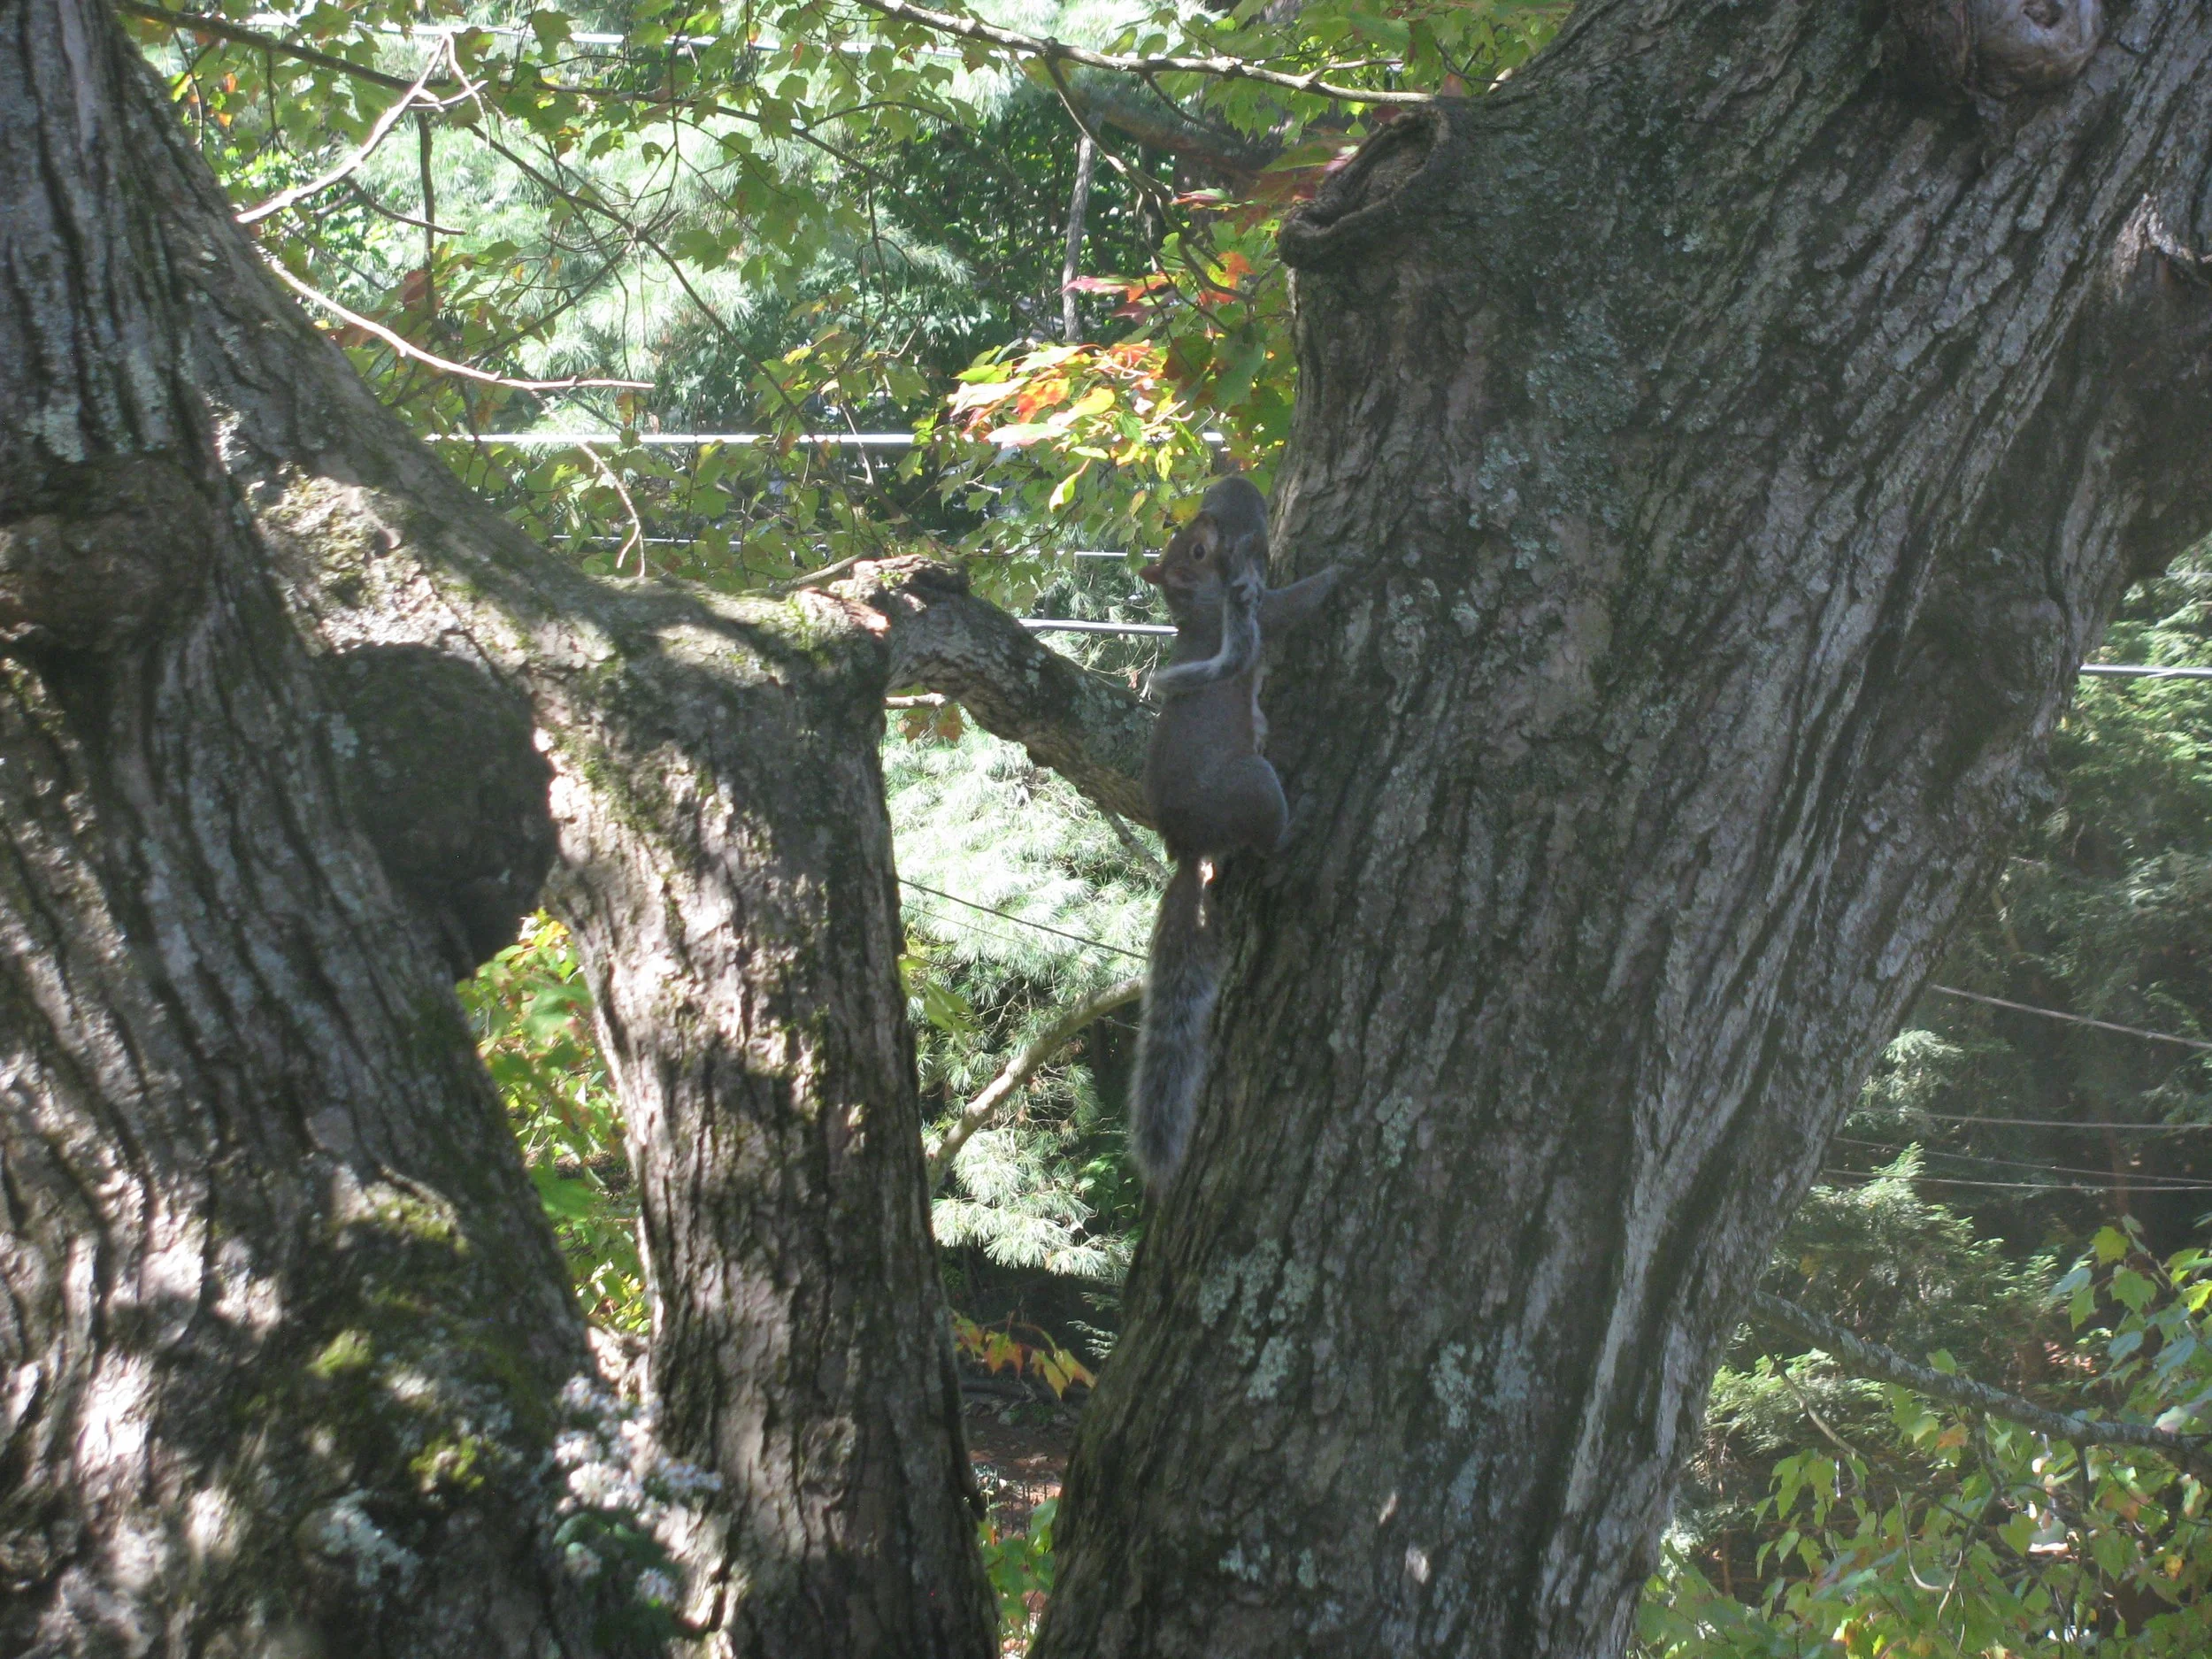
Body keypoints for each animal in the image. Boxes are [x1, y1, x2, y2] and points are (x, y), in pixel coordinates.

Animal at [1129, 475, 1339, 1192]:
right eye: (1197, 549)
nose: (1218, 512)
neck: (1196, 607)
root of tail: (1189, 847)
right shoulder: (1262, 614)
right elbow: (1296, 603)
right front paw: (1346, 568)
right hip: (1251, 784)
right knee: (1269, 842)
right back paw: (1301, 824)